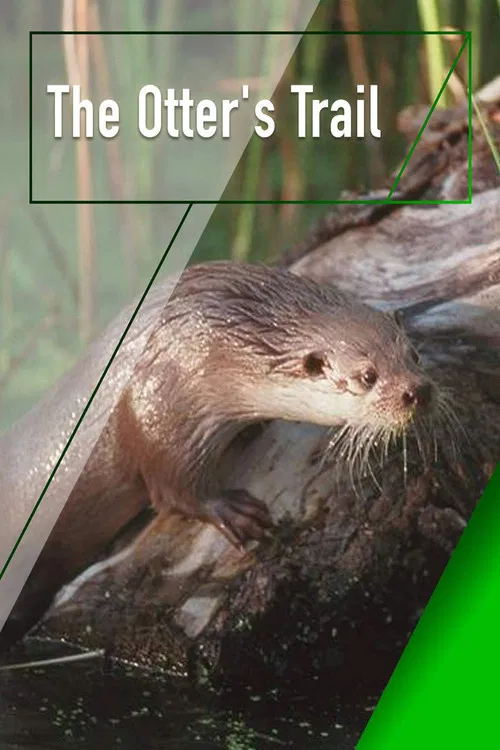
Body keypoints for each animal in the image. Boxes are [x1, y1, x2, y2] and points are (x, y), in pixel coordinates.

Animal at [0, 261, 434, 648]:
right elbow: (171, 486)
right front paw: (233, 511)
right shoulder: (163, 397)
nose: (417, 391)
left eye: (413, 355)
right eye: (368, 376)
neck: (221, 345)